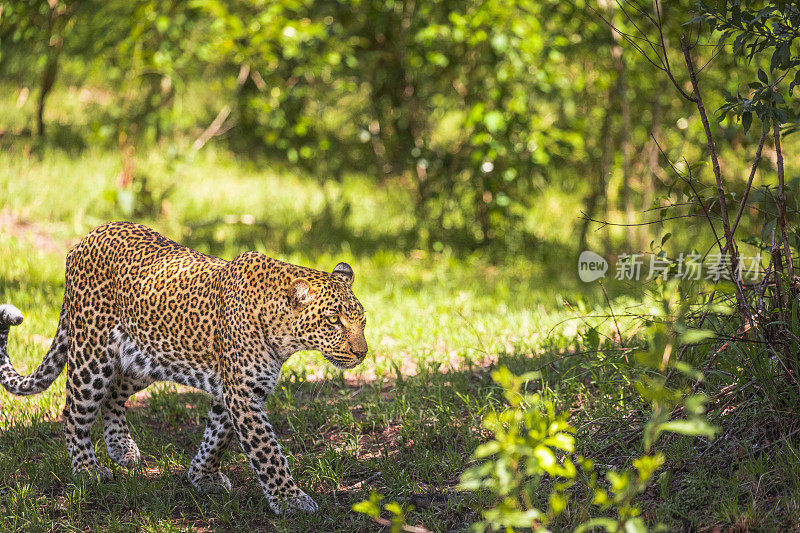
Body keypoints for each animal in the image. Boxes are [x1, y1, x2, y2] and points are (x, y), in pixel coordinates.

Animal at [0, 220, 368, 512]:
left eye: (361, 321)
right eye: (333, 321)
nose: (362, 353)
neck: (283, 333)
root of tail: (85, 237)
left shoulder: (232, 391)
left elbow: (217, 437)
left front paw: (203, 476)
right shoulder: (243, 395)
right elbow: (268, 451)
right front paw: (291, 500)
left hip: (144, 357)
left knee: (113, 395)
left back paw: (121, 448)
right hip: (92, 354)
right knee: (74, 412)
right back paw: (87, 470)